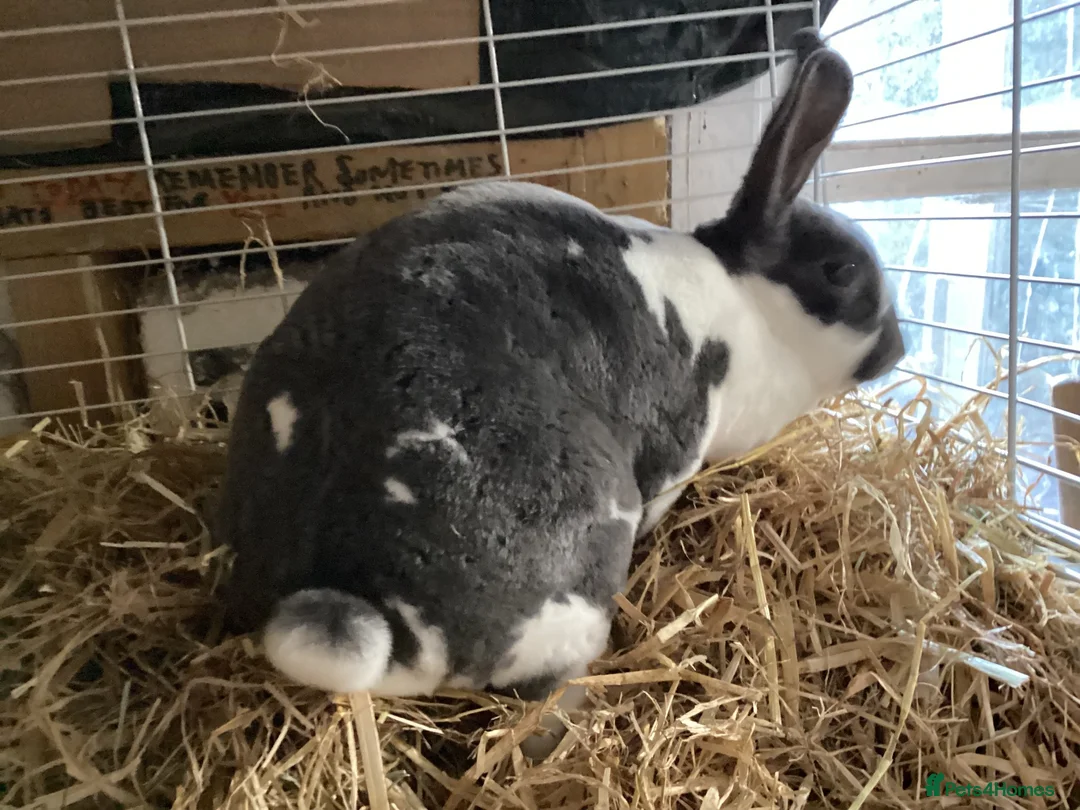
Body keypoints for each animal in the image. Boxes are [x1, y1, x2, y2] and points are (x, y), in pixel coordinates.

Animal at [213, 28, 906, 759]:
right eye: (842, 270)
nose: (898, 348)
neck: (749, 304)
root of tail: (367, 610)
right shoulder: (676, 456)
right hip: (575, 588)